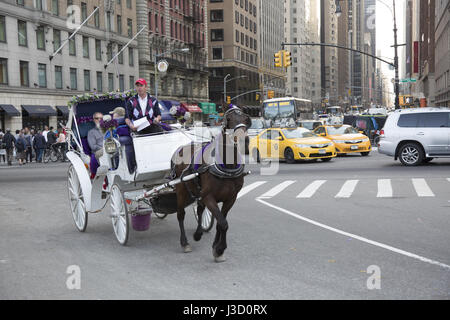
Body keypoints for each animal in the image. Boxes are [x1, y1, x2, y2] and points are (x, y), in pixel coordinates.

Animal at [171, 106, 251, 262]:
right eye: (229, 119)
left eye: (246, 119)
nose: (243, 140)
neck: (227, 166)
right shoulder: (209, 197)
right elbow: (223, 223)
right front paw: (219, 249)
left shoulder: (230, 198)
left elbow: (221, 222)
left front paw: (216, 247)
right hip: (181, 190)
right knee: (180, 214)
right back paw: (185, 242)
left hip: (197, 191)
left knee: (200, 210)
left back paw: (198, 233)